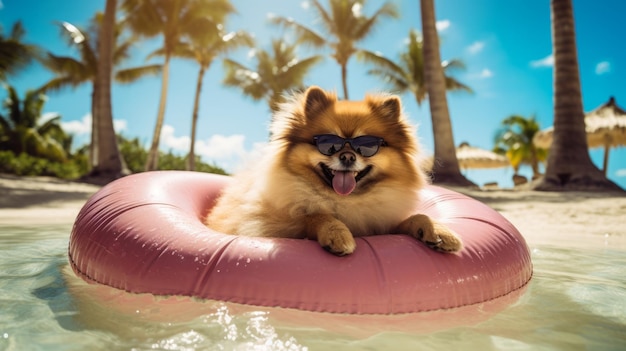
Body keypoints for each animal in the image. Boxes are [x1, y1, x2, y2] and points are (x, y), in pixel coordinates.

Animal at [204, 85, 458, 256]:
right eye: (328, 143)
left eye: (367, 145)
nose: (347, 156)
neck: (345, 201)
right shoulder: (270, 226)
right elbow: (315, 215)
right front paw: (337, 233)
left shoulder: (383, 225)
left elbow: (417, 216)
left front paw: (439, 231)